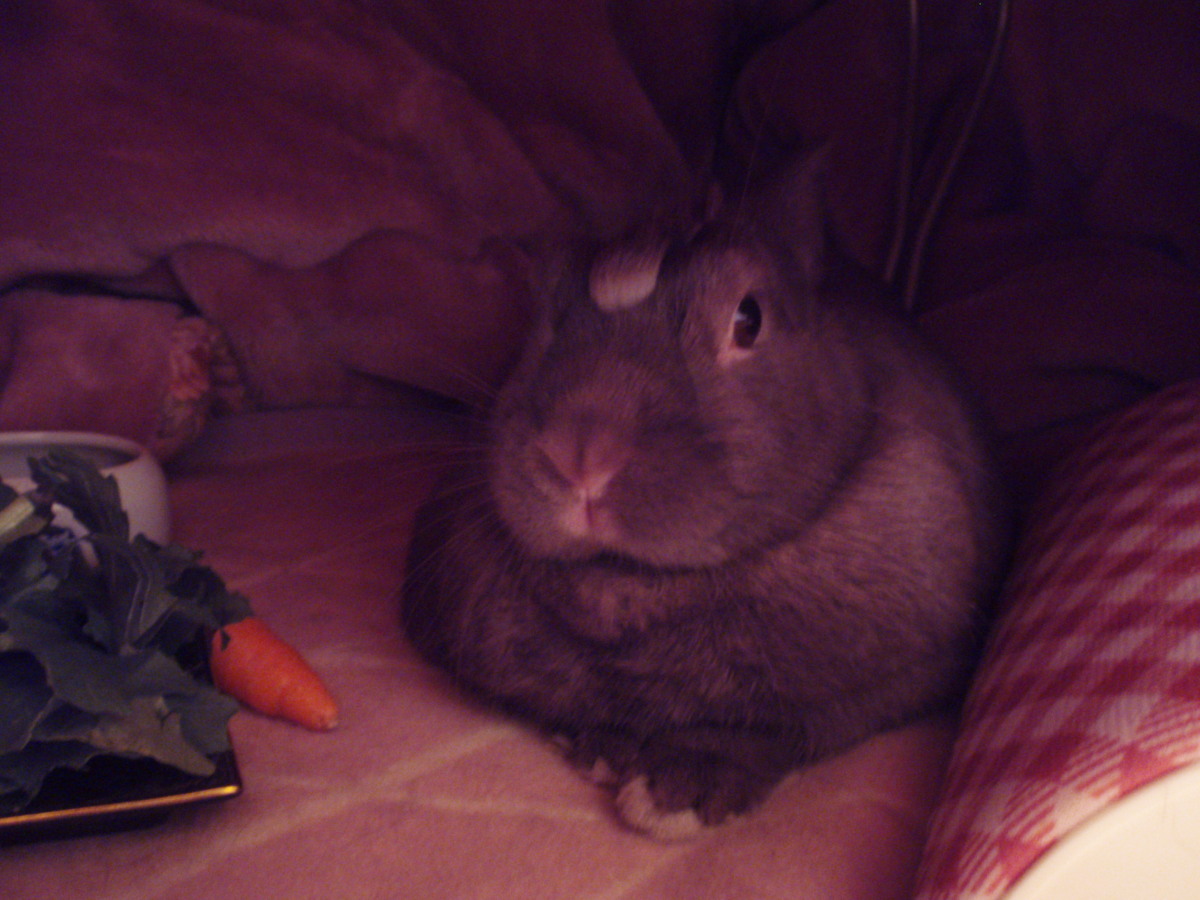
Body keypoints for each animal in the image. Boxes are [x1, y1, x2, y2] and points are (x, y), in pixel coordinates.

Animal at [400, 153, 1008, 840]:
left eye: (749, 318)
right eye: (536, 326)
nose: (580, 455)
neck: (635, 584)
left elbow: (783, 730)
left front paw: (676, 791)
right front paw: (607, 750)